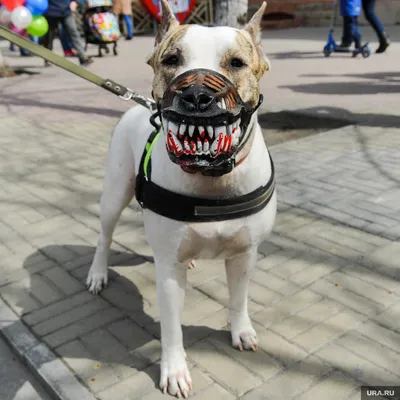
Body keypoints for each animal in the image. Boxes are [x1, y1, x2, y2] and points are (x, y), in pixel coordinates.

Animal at [86, 0, 276, 396]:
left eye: (237, 63)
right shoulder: (168, 273)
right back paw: (97, 273)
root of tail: (136, 105)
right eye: (172, 59)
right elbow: (171, 328)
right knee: (104, 236)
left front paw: (241, 331)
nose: (196, 94)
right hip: (114, 193)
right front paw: (174, 371)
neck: (212, 178)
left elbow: (238, 298)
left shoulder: (244, 254)